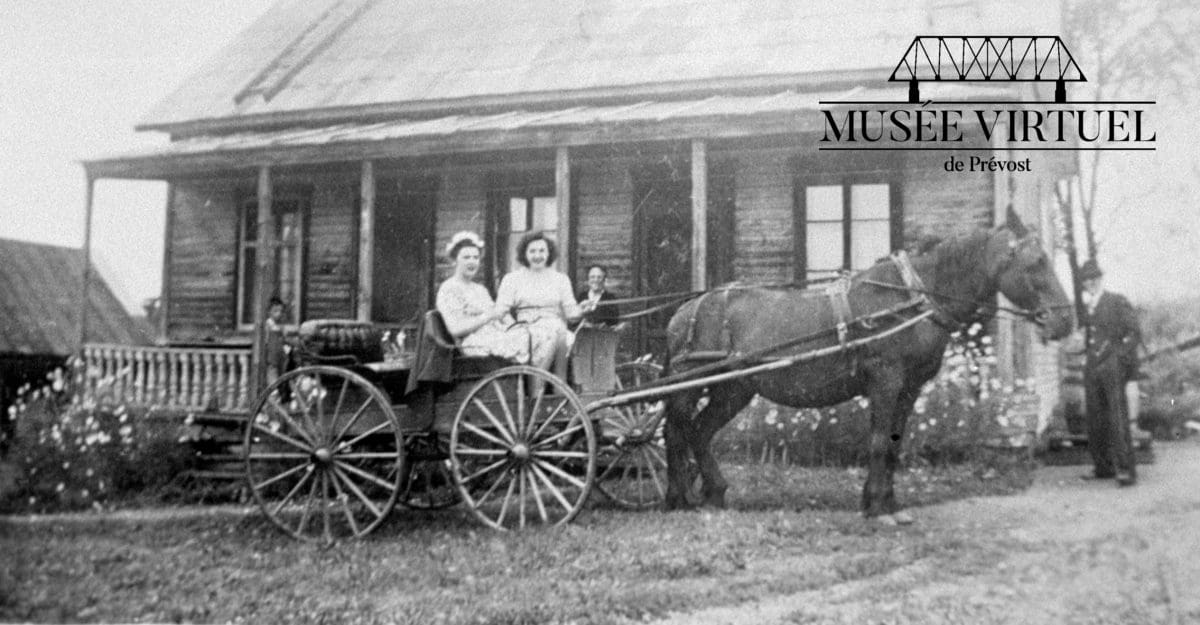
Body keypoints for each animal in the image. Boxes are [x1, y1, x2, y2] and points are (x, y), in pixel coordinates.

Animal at [662, 214, 1075, 520]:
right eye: (1036, 262)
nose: (1065, 322)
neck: (911, 300)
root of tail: (685, 310)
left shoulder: (910, 387)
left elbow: (894, 442)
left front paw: (887, 502)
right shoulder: (885, 380)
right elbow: (877, 441)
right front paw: (877, 507)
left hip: (734, 389)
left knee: (697, 433)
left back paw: (710, 494)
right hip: (693, 385)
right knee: (678, 432)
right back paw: (680, 497)